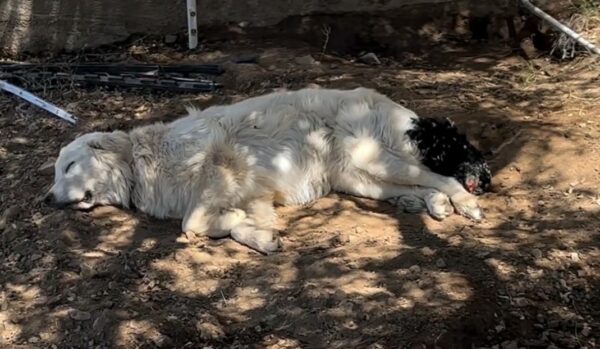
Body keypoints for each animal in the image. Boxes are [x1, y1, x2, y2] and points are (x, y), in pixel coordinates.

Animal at [44, 87, 490, 253]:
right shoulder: (255, 196)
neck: (141, 163)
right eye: (55, 172)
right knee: (425, 184)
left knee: (443, 177)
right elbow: (233, 224)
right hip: (360, 179)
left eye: (69, 166)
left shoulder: (219, 168)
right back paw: (432, 205)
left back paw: (464, 204)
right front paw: (259, 236)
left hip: (370, 158)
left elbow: (192, 222)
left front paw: (237, 225)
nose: (46, 200)